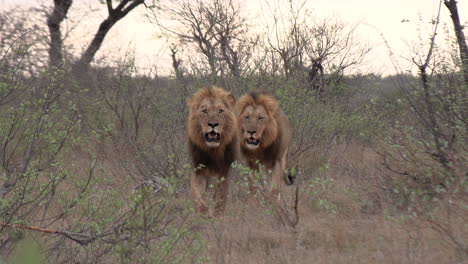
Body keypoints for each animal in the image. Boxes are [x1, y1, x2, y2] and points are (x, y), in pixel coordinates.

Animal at [187, 85, 238, 216]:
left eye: (220, 111)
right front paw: (203, 212)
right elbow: (197, 192)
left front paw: (217, 213)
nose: (213, 124)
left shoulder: (224, 169)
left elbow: (220, 193)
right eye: (204, 111)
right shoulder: (198, 168)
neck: (213, 151)